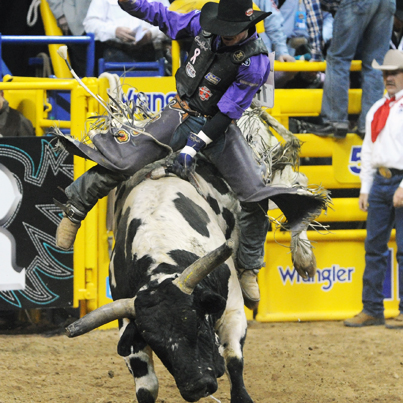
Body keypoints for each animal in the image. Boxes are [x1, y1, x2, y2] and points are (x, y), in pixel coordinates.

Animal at [66, 158, 256, 403]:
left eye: (196, 323)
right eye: (155, 341)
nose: (196, 386)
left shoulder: (233, 310)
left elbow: (233, 359)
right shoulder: (130, 326)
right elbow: (146, 387)